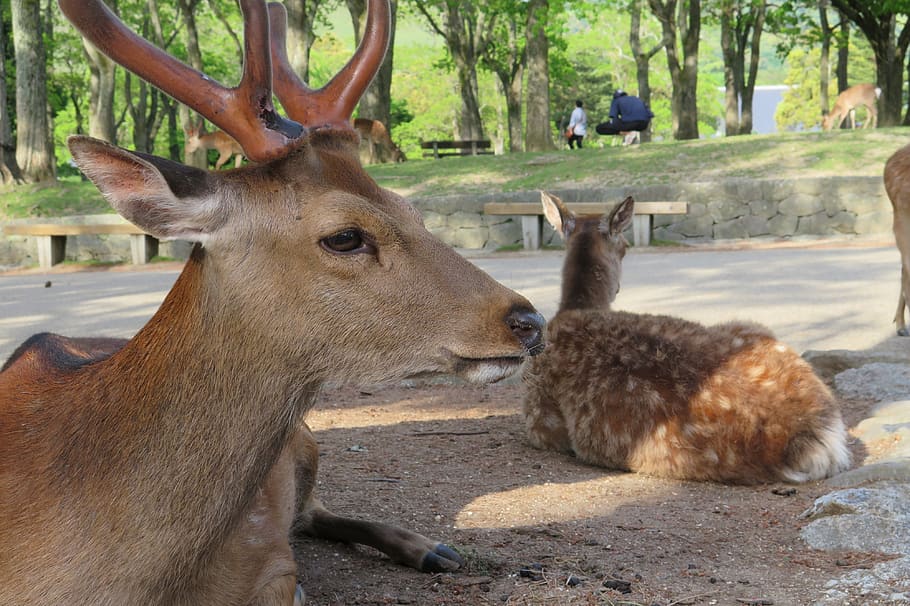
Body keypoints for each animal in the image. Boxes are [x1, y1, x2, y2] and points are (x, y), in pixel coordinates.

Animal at [0, 1, 548, 606]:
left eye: (411, 209)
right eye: (345, 236)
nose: (529, 321)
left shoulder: (273, 564)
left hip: (307, 441)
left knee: (314, 511)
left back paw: (433, 549)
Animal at [524, 192, 852, 486]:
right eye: (626, 246)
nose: (617, 288)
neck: (574, 308)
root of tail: (815, 437)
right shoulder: (538, 419)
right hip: (752, 328)